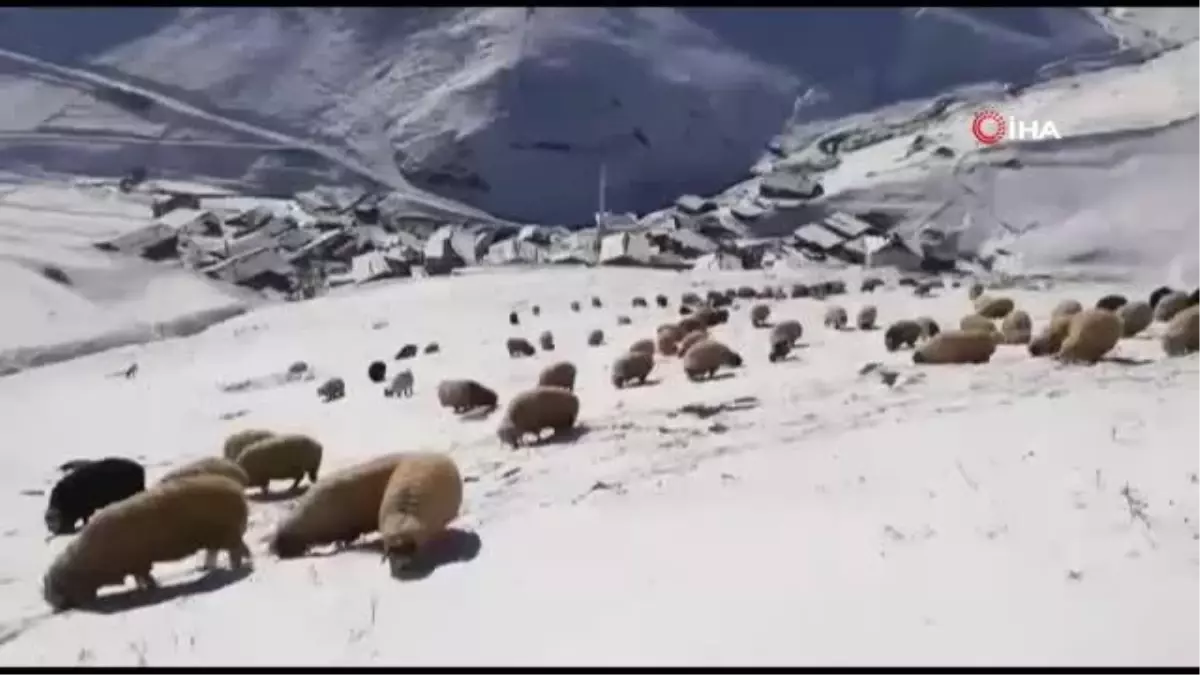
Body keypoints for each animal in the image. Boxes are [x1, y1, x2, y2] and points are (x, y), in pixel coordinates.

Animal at [43, 473, 250, 610]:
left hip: (228, 534)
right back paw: (215, 568)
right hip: (218, 536)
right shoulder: (135, 562)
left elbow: (144, 575)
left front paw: (150, 588)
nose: (56, 606)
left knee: (236, 551)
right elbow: (141, 576)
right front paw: (146, 587)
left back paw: (235, 567)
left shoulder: (138, 561)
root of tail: (236, 489)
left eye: (54, 585)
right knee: (223, 551)